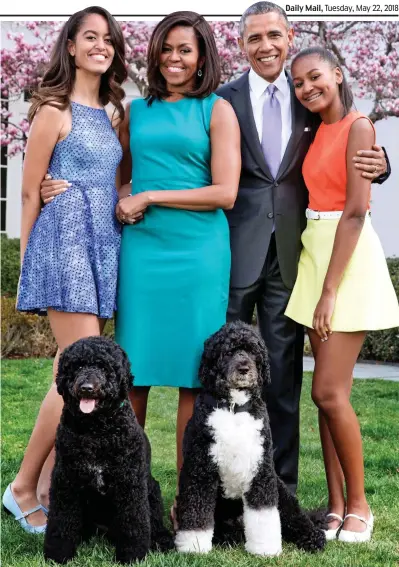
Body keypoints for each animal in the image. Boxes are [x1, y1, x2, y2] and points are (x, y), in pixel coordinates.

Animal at [44, 338, 174, 564]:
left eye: (105, 368)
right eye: (78, 366)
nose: (87, 388)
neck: (96, 431)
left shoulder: (129, 483)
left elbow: (133, 524)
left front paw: (131, 556)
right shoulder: (66, 480)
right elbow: (60, 522)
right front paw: (58, 554)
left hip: (153, 491)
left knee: (155, 523)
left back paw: (162, 540)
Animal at [177, 322, 326, 556]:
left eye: (253, 351)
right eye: (228, 351)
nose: (244, 368)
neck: (234, 408)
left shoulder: (261, 471)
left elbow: (263, 514)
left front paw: (265, 548)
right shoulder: (200, 470)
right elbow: (197, 512)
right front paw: (194, 546)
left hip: (281, 491)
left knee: (296, 517)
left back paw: (312, 537)